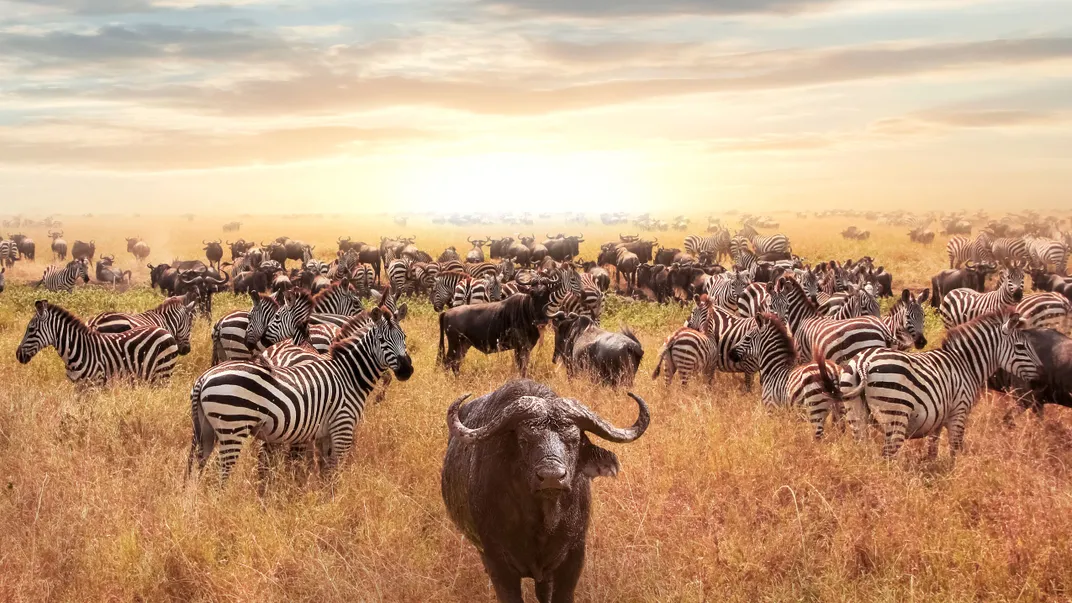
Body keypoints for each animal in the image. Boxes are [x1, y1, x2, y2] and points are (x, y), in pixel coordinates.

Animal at [17, 300, 179, 384]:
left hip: (163, 373)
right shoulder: (79, 387)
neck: (78, 348)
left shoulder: (94, 385)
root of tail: (163, 330)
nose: (18, 355)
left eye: (31, 329)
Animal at [187, 307, 413, 482]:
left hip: (207, 430)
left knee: (199, 465)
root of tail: (204, 378)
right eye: (382, 340)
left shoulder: (325, 433)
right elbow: (335, 470)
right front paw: (333, 500)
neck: (348, 374)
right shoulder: (343, 426)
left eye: (404, 337)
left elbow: (325, 469)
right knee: (221, 472)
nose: (406, 370)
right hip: (233, 426)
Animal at [442, 380, 649, 603]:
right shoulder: (496, 560)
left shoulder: (574, 556)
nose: (552, 476)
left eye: (575, 439)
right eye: (524, 440)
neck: (543, 522)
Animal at [819, 308, 1040, 458]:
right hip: (895, 414)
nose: (1041, 372)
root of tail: (862, 363)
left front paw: (934, 469)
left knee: (862, 447)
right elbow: (955, 448)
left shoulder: (939, 416)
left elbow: (933, 447)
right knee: (888, 456)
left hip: (855, 412)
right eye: (1021, 347)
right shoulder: (959, 412)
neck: (966, 364)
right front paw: (953, 474)